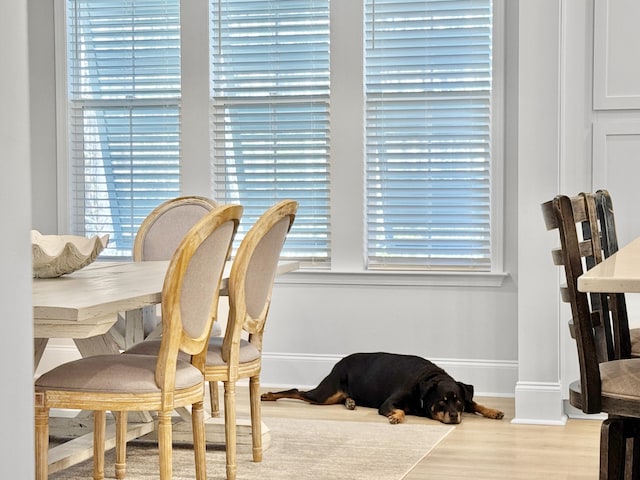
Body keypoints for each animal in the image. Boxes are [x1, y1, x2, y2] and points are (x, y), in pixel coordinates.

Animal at [262, 352, 504, 424]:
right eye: (442, 402)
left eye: (458, 402)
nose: (454, 416)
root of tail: (339, 362)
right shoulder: (388, 402)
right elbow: (399, 409)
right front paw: (396, 416)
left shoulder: (467, 394)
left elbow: (477, 402)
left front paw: (494, 411)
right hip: (325, 394)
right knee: (296, 391)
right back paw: (268, 395)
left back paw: (350, 402)